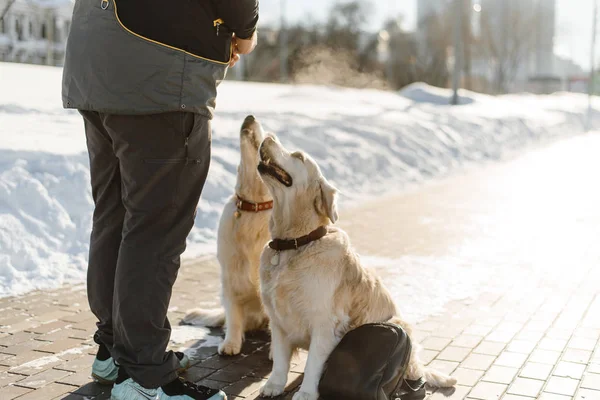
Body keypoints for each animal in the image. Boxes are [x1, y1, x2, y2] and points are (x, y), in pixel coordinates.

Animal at [183, 116, 272, 356]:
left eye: (271, 137)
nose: (250, 116)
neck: (254, 205)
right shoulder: (231, 274)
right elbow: (233, 316)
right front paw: (231, 344)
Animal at [255, 136, 458, 398]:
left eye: (298, 156)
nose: (268, 136)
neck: (295, 244)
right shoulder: (277, 319)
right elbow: (280, 360)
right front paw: (274, 385)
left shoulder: (325, 322)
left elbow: (312, 365)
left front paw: (307, 393)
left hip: (401, 326)